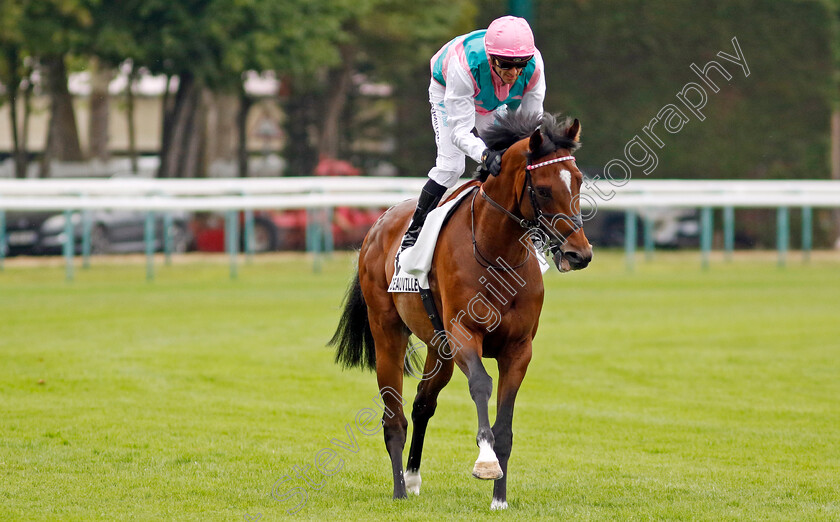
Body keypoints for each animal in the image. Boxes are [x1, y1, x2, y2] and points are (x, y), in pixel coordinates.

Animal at [332, 110, 592, 508]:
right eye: (544, 189)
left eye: (577, 181)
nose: (579, 254)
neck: (498, 253)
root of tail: (378, 223)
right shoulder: (464, 334)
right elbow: (482, 384)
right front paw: (485, 462)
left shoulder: (518, 349)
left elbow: (505, 422)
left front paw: (500, 498)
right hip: (388, 332)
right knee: (394, 417)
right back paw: (399, 490)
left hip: (438, 347)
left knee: (422, 403)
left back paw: (413, 478)